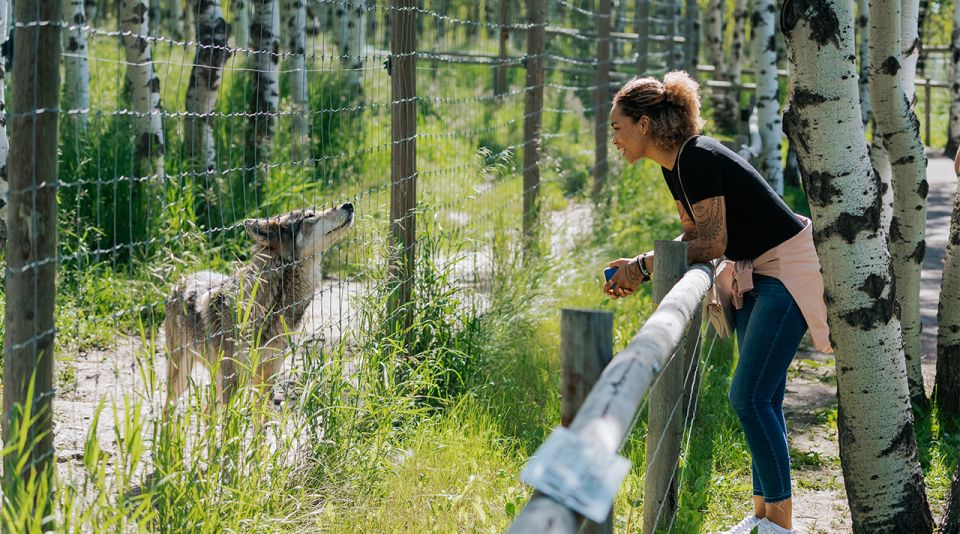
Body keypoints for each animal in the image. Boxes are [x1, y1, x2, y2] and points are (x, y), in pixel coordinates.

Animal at [163, 204, 354, 406]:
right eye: (310, 215)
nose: (348, 204)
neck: (272, 302)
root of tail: (181, 280)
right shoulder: (232, 383)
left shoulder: (266, 379)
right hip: (183, 380)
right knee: (167, 409)